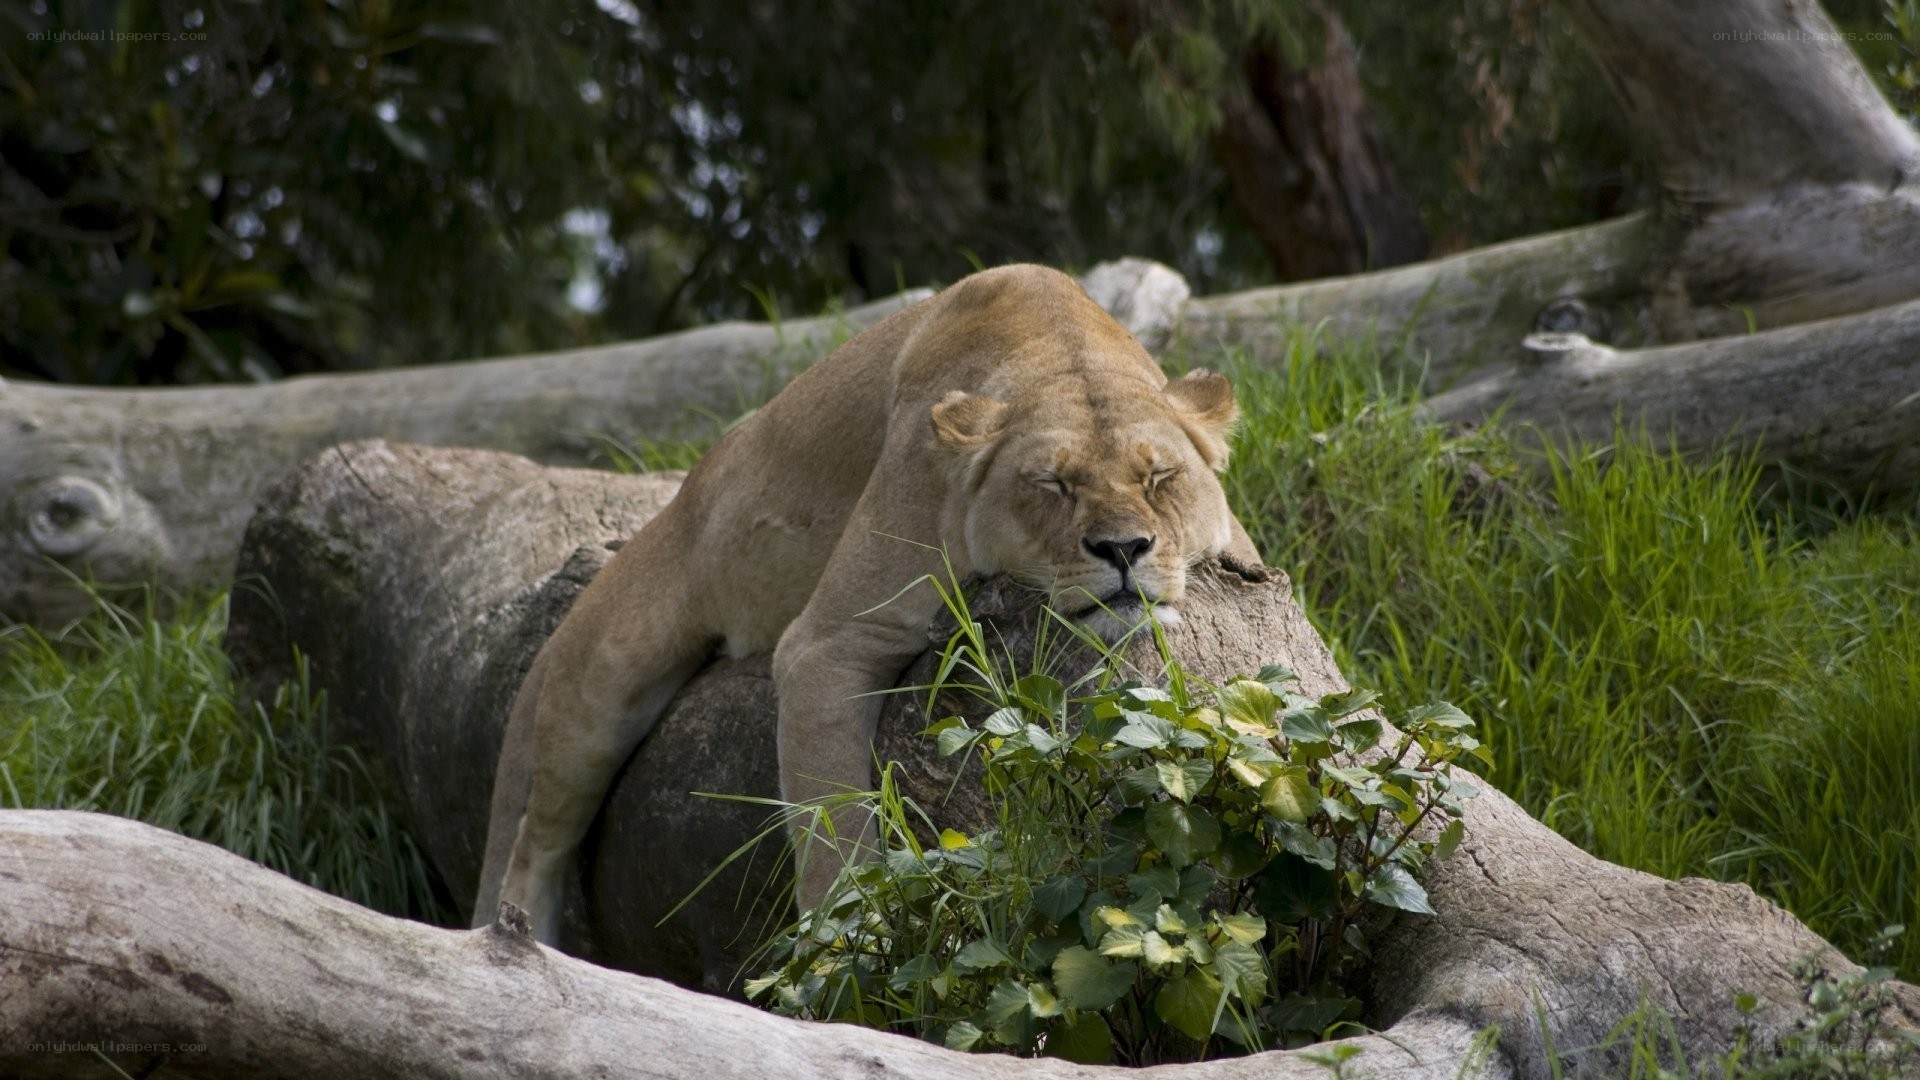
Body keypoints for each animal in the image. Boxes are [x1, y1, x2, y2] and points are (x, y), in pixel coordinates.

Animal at [473, 264, 1260, 942]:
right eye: (1052, 484)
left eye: (1160, 476)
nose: (1124, 549)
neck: (1062, 346)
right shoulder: (828, 644)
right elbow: (833, 816)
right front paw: (847, 945)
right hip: (603, 679)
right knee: (535, 838)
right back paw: (524, 939)